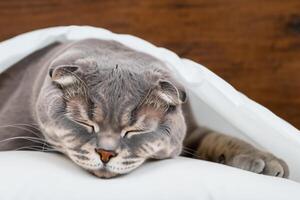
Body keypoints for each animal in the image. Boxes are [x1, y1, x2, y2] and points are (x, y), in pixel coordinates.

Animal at [0, 39, 288, 178]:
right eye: (84, 123)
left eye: (136, 130)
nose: (105, 153)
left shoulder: (191, 131)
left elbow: (219, 137)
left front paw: (266, 160)